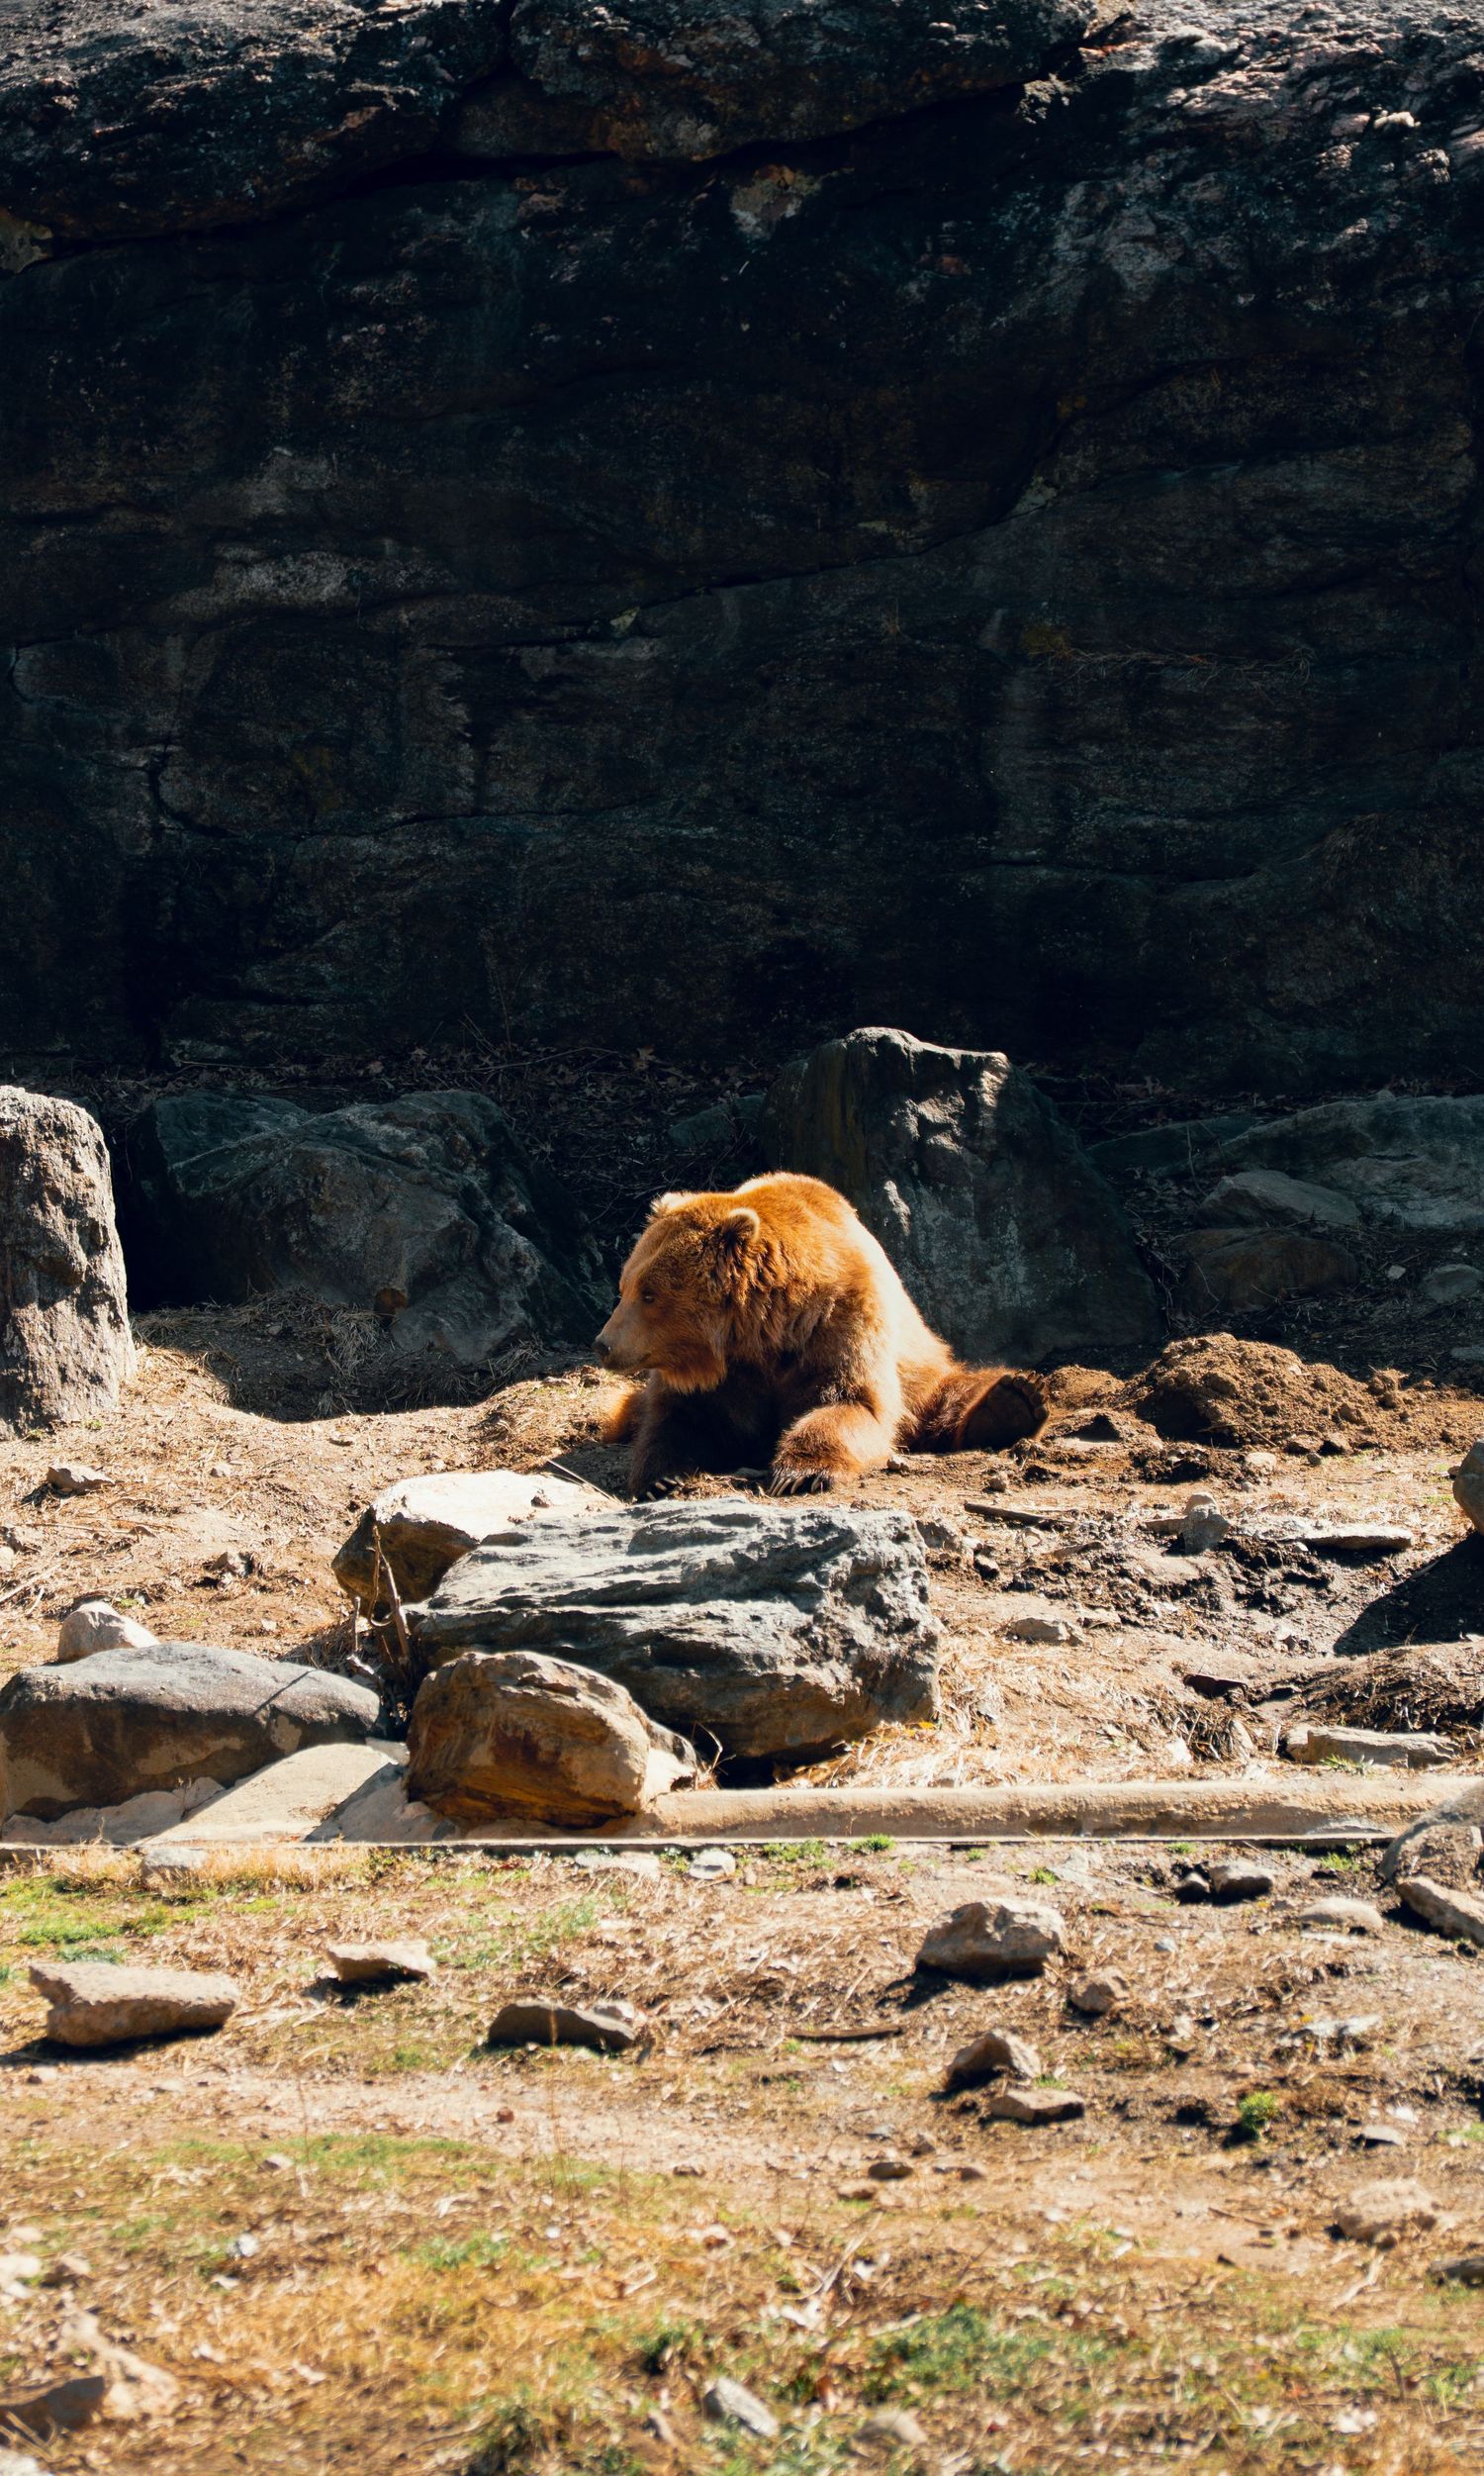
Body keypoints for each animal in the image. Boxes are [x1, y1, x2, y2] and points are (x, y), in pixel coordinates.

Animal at [594, 1171, 1048, 1498]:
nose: (603, 1345)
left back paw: (1014, 1400)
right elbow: (677, 1416)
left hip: (921, 1373)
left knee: (955, 1392)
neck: (761, 1332)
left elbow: (852, 1401)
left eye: (649, 1294)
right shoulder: (722, 1376)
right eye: (625, 1285)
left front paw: (798, 1472)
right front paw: (661, 1477)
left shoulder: (839, 1323)